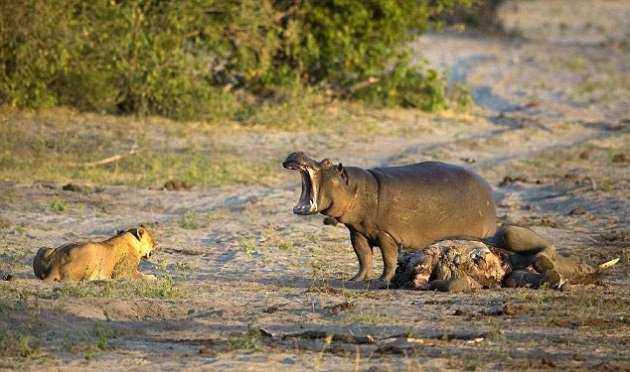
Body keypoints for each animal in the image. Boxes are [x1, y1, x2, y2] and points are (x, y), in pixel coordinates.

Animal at [284, 152, 620, 290]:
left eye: (326, 162)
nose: (296, 152)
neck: (355, 186)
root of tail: (488, 189)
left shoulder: (387, 234)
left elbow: (388, 259)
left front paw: (381, 281)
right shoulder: (357, 231)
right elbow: (363, 257)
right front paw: (356, 279)